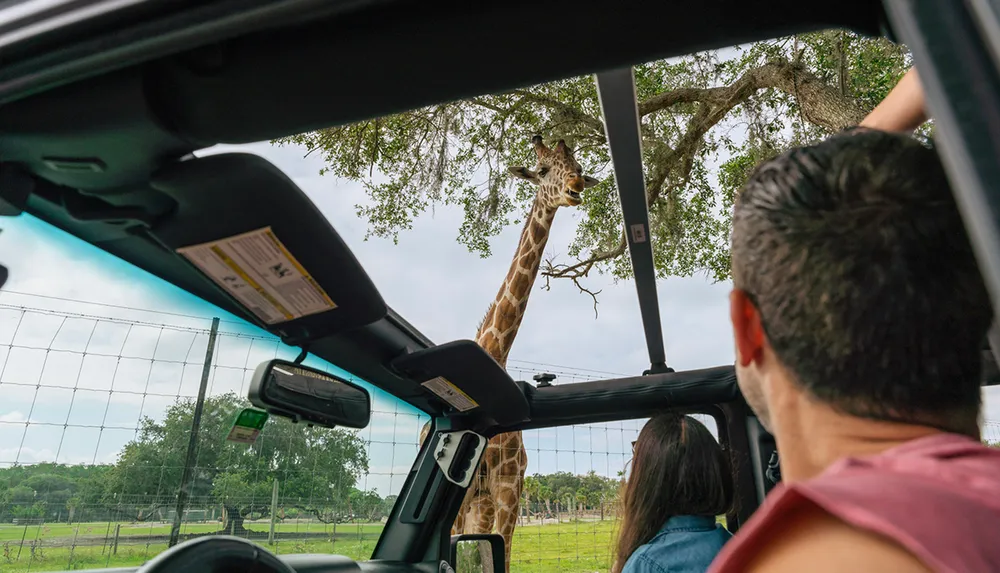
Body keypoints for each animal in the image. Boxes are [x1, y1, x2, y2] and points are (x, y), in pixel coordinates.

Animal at [418, 135, 596, 572]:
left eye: (579, 166)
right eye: (544, 170)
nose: (575, 187)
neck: (494, 355)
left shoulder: (508, 492)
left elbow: (502, 554)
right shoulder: (465, 492)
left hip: (482, 506)